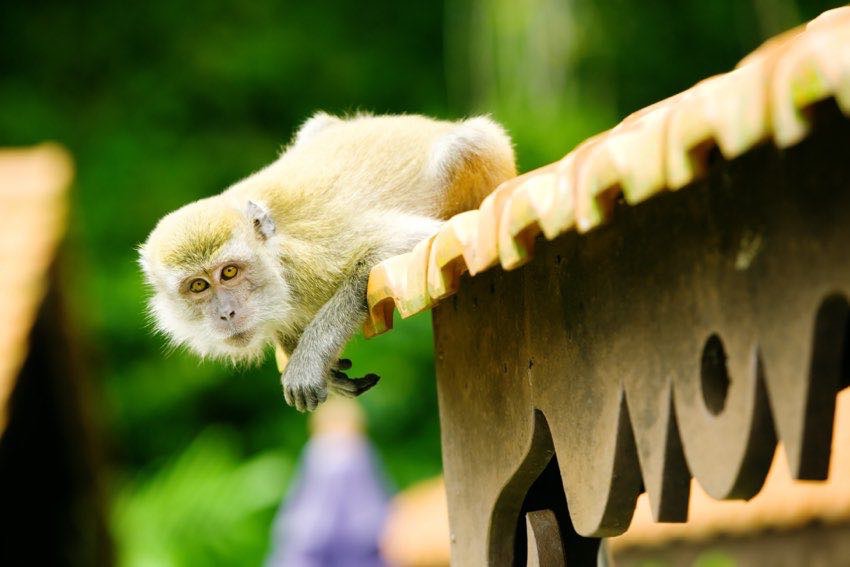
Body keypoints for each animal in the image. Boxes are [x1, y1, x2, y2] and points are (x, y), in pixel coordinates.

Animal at [139, 112, 516, 412]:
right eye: (198, 286)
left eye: (229, 272)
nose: (226, 313)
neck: (279, 267)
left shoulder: (311, 261)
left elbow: (406, 240)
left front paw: (309, 357)